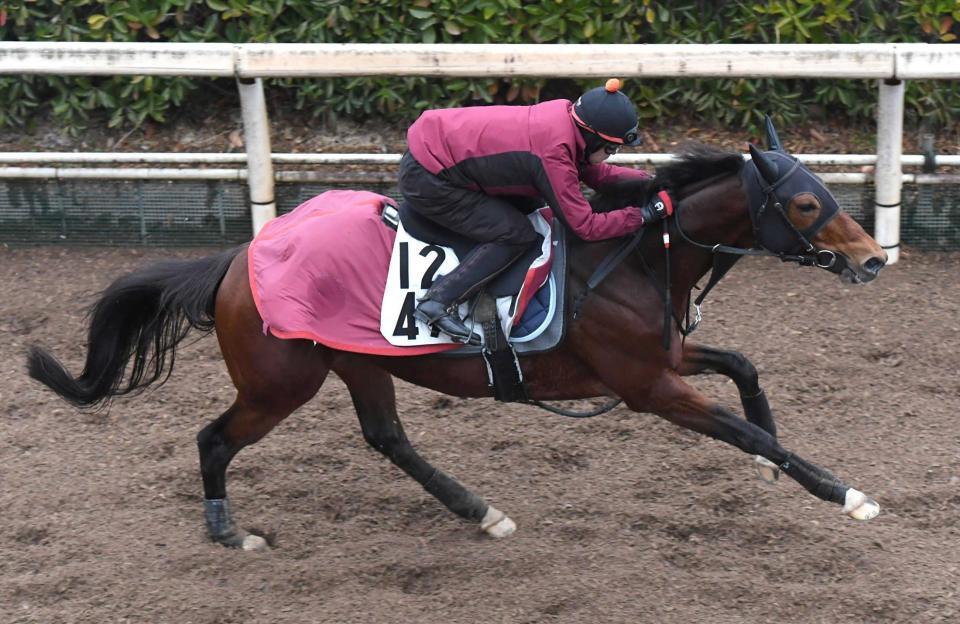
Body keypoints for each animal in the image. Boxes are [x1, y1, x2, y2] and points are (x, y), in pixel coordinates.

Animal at [28, 122, 884, 552]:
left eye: (826, 192)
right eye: (805, 206)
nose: (874, 258)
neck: (640, 255)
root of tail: (239, 258)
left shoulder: (665, 361)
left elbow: (746, 369)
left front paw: (784, 468)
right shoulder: (647, 387)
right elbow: (746, 431)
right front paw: (845, 493)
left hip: (357, 363)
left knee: (388, 439)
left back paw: (480, 511)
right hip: (281, 380)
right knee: (213, 438)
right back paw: (228, 531)